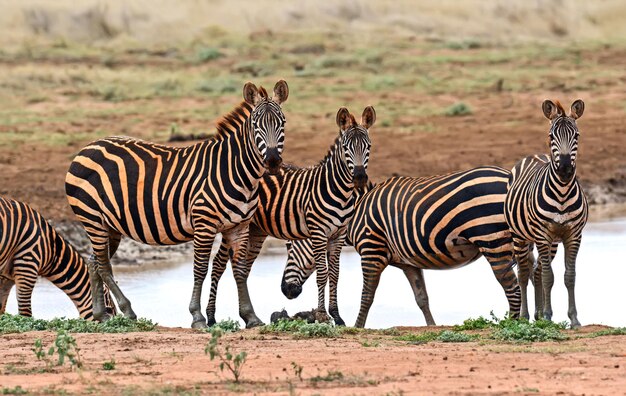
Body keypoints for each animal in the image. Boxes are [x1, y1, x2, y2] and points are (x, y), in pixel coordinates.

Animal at [64, 79, 288, 328]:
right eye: (256, 125)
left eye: (282, 123)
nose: (272, 161)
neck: (235, 170)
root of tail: (87, 147)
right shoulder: (204, 224)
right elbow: (200, 269)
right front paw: (197, 316)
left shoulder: (239, 227)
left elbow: (239, 271)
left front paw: (251, 316)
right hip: (92, 217)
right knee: (103, 264)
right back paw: (127, 310)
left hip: (109, 224)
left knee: (94, 261)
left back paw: (100, 315)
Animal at [208, 105, 376, 324]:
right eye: (346, 148)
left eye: (368, 146)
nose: (359, 178)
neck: (339, 191)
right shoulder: (318, 232)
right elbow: (322, 274)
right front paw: (322, 315)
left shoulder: (338, 235)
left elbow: (335, 274)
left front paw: (337, 317)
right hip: (232, 224)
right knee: (219, 264)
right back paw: (211, 317)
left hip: (255, 229)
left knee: (243, 267)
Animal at [344, 167, 520, 328]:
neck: (356, 209)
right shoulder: (408, 263)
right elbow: (421, 297)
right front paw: (432, 326)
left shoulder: (371, 249)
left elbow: (367, 295)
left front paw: (357, 327)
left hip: (492, 238)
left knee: (512, 286)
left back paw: (512, 323)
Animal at [502, 100, 584, 328]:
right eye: (551, 136)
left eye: (576, 136)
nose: (564, 169)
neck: (563, 193)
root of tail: (533, 155)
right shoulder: (542, 235)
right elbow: (549, 276)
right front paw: (548, 316)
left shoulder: (574, 235)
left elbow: (569, 276)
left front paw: (573, 319)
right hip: (519, 236)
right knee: (523, 273)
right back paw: (525, 316)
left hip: (551, 243)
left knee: (536, 271)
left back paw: (538, 315)